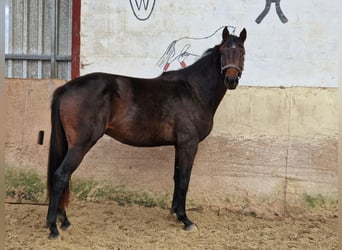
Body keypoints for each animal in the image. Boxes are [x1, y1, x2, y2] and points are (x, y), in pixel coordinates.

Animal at [46, 26, 247, 239]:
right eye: (223, 52)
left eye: (242, 52)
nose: (231, 80)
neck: (193, 90)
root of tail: (67, 87)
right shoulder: (189, 144)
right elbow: (184, 180)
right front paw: (185, 219)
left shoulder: (179, 145)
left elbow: (177, 177)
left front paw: (175, 212)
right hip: (80, 145)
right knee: (60, 176)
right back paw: (53, 227)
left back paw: (64, 221)